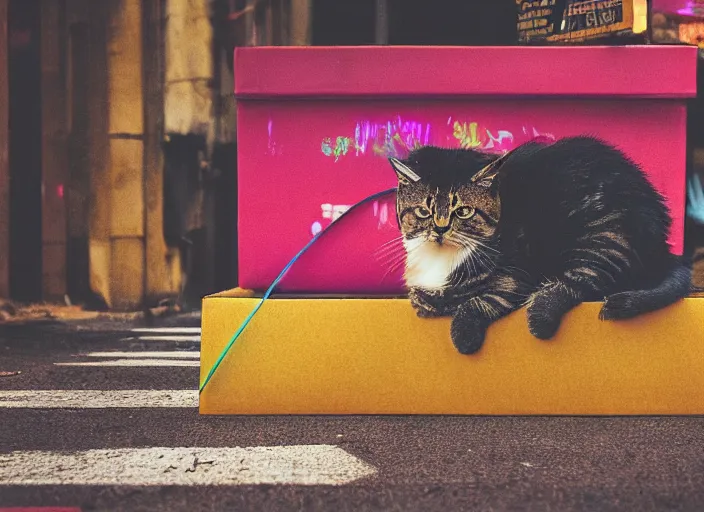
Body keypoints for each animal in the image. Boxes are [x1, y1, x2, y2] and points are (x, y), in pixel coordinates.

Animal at [390, 138, 692, 356]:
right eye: (423, 211)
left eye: (463, 211)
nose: (440, 229)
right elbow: (424, 298)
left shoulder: (513, 275)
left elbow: (481, 300)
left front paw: (464, 335)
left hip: (605, 234)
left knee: (583, 281)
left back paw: (540, 313)